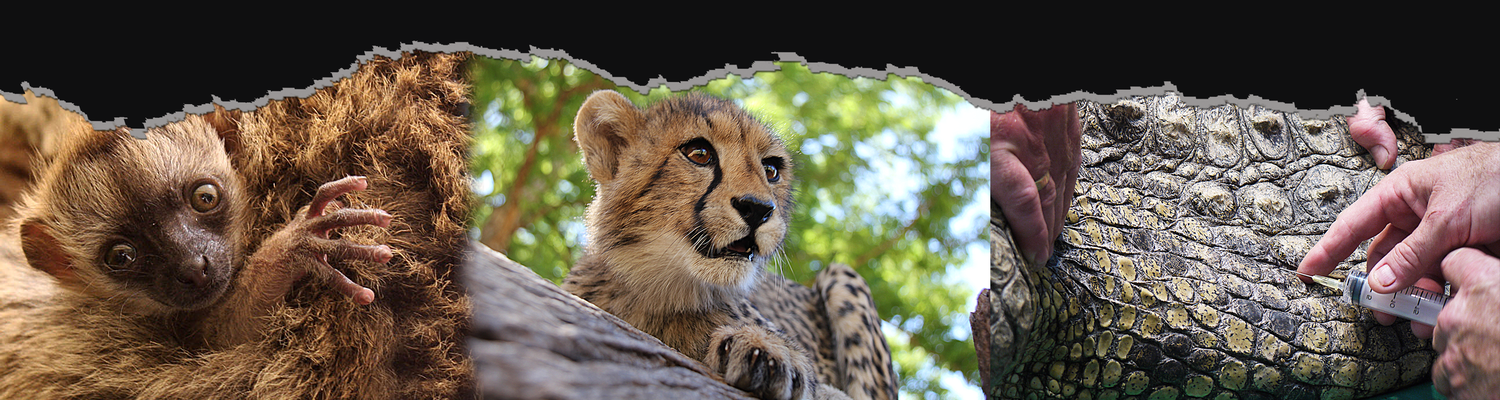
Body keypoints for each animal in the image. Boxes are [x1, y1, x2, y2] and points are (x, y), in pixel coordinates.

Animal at [561, 90, 897, 400]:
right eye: (699, 153)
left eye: (771, 170)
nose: (758, 209)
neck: (658, 293)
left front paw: (766, 349)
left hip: (842, 275)